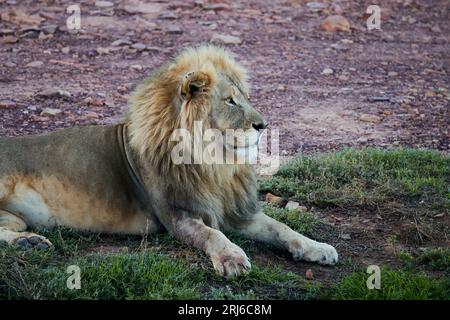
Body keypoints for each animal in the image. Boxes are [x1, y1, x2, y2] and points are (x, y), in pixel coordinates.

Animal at [0, 44, 338, 278]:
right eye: (230, 100)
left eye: (245, 98)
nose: (263, 125)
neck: (215, 164)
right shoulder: (177, 216)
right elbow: (212, 234)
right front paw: (232, 259)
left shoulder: (236, 211)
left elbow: (282, 228)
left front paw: (318, 248)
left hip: (15, 217)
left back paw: (30, 243)